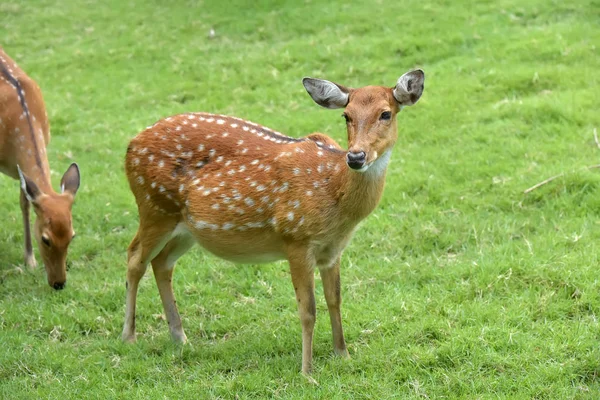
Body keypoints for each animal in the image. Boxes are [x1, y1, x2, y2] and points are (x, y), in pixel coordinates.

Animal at [120, 67, 422, 376]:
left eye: (386, 113)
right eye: (346, 115)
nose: (356, 156)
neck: (333, 192)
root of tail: (131, 145)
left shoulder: (333, 250)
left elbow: (335, 299)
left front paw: (343, 354)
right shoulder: (296, 238)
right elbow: (307, 309)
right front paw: (307, 372)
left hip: (185, 228)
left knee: (162, 262)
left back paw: (179, 337)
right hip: (154, 207)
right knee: (134, 257)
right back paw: (129, 336)